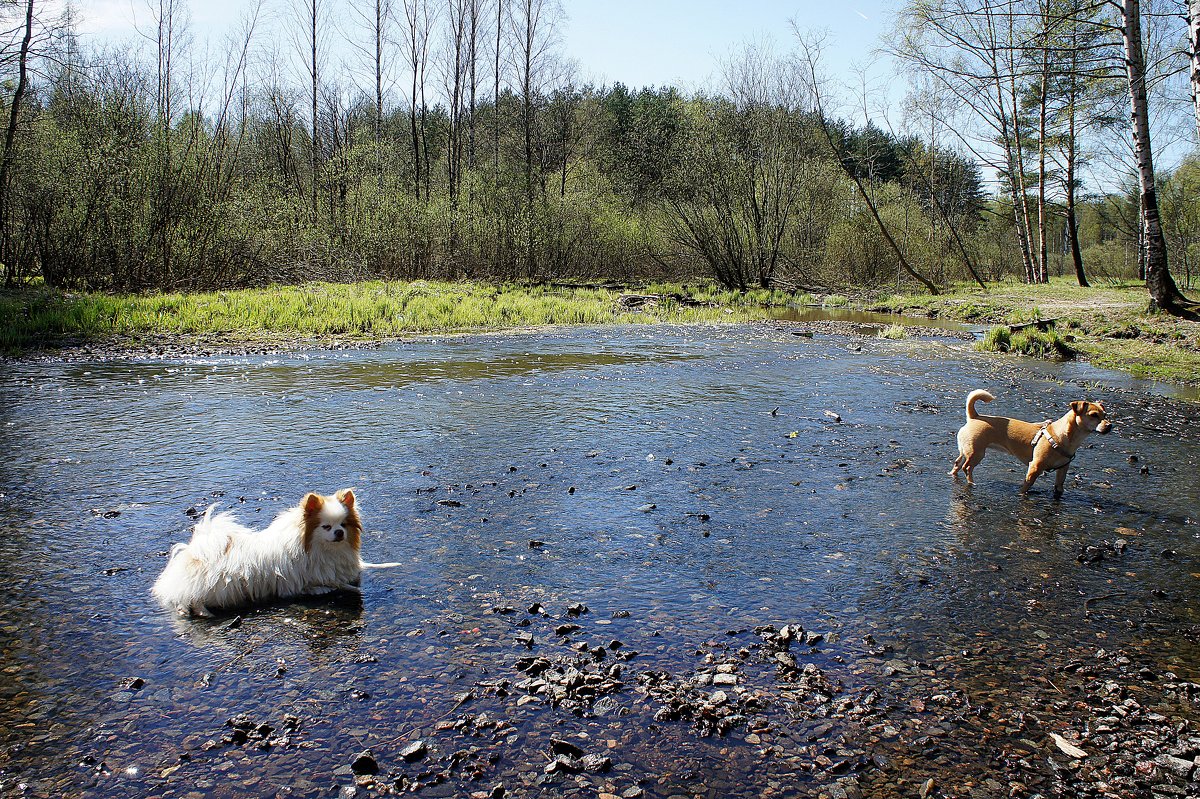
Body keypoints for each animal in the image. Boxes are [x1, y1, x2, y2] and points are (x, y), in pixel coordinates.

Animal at [156, 484, 369, 614]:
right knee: (189, 599)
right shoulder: (292, 583)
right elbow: (310, 586)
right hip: (213, 586)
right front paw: (320, 589)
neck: (323, 551)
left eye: (343, 525)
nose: (339, 532)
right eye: (326, 527)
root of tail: (194, 553)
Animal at [950, 388, 1108, 494]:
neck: (1064, 436)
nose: (1110, 425)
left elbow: (1059, 487)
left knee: (958, 463)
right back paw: (971, 483)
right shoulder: (1035, 467)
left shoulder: (1063, 470)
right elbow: (1026, 486)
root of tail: (975, 416)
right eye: (1094, 415)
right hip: (977, 453)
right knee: (967, 468)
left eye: (1105, 415)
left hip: (966, 450)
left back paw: (953, 474)